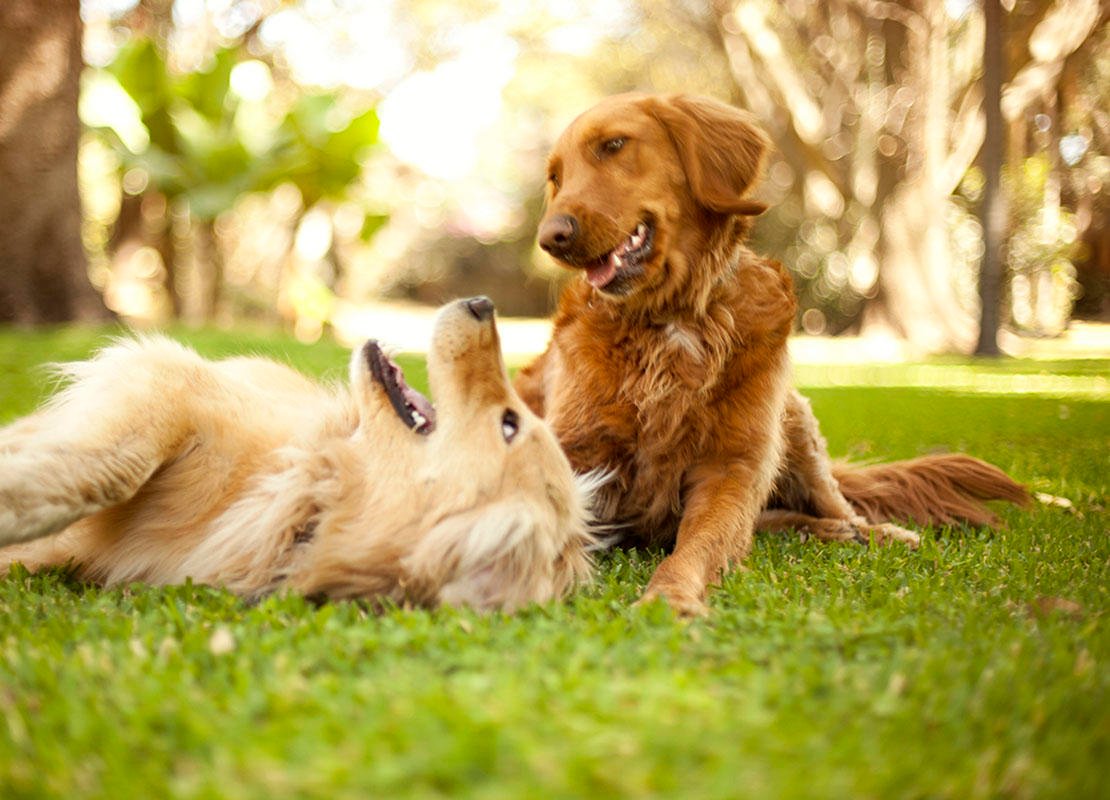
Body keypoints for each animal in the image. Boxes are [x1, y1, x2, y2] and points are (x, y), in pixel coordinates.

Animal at [515, 95, 1025, 616]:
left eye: (614, 145)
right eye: (555, 177)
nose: (550, 237)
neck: (672, 319)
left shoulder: (733, 467)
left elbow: (698, 546)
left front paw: (669, 597)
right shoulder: (574, 451)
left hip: (793, 423)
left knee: (831, 504)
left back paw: (871, 531)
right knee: (774, 520)